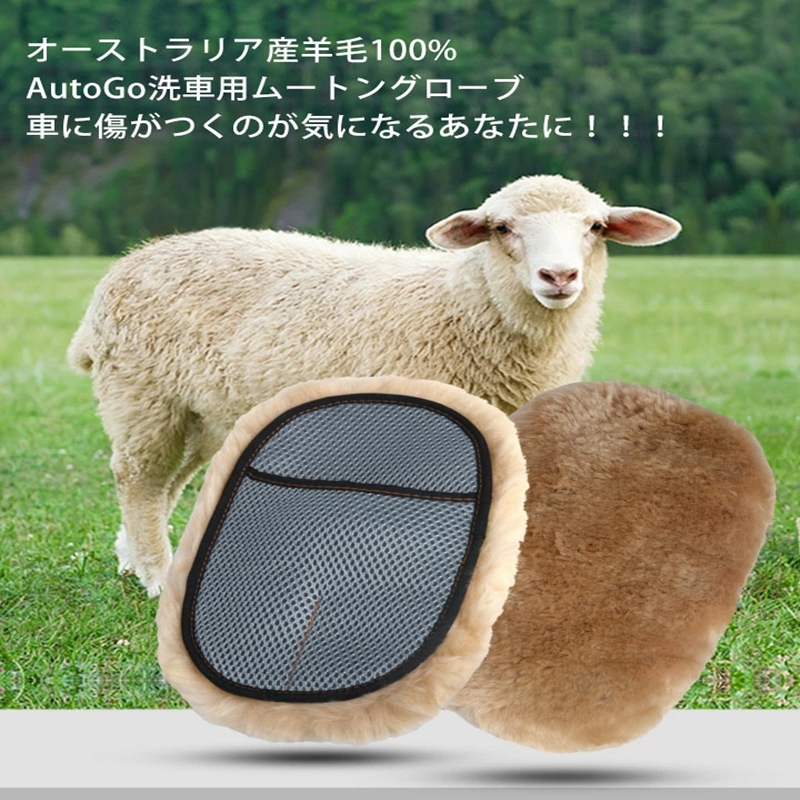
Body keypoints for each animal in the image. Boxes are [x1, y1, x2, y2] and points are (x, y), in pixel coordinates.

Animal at [67, 174, 681, 595]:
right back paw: (156, 574)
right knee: (139, 480)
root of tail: (126, 265)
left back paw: (133, 558)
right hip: (143, 394)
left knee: (165, 483)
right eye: (502, 228)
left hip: (202, 410)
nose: (559, 276)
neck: (461, 306)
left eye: (595, 227)